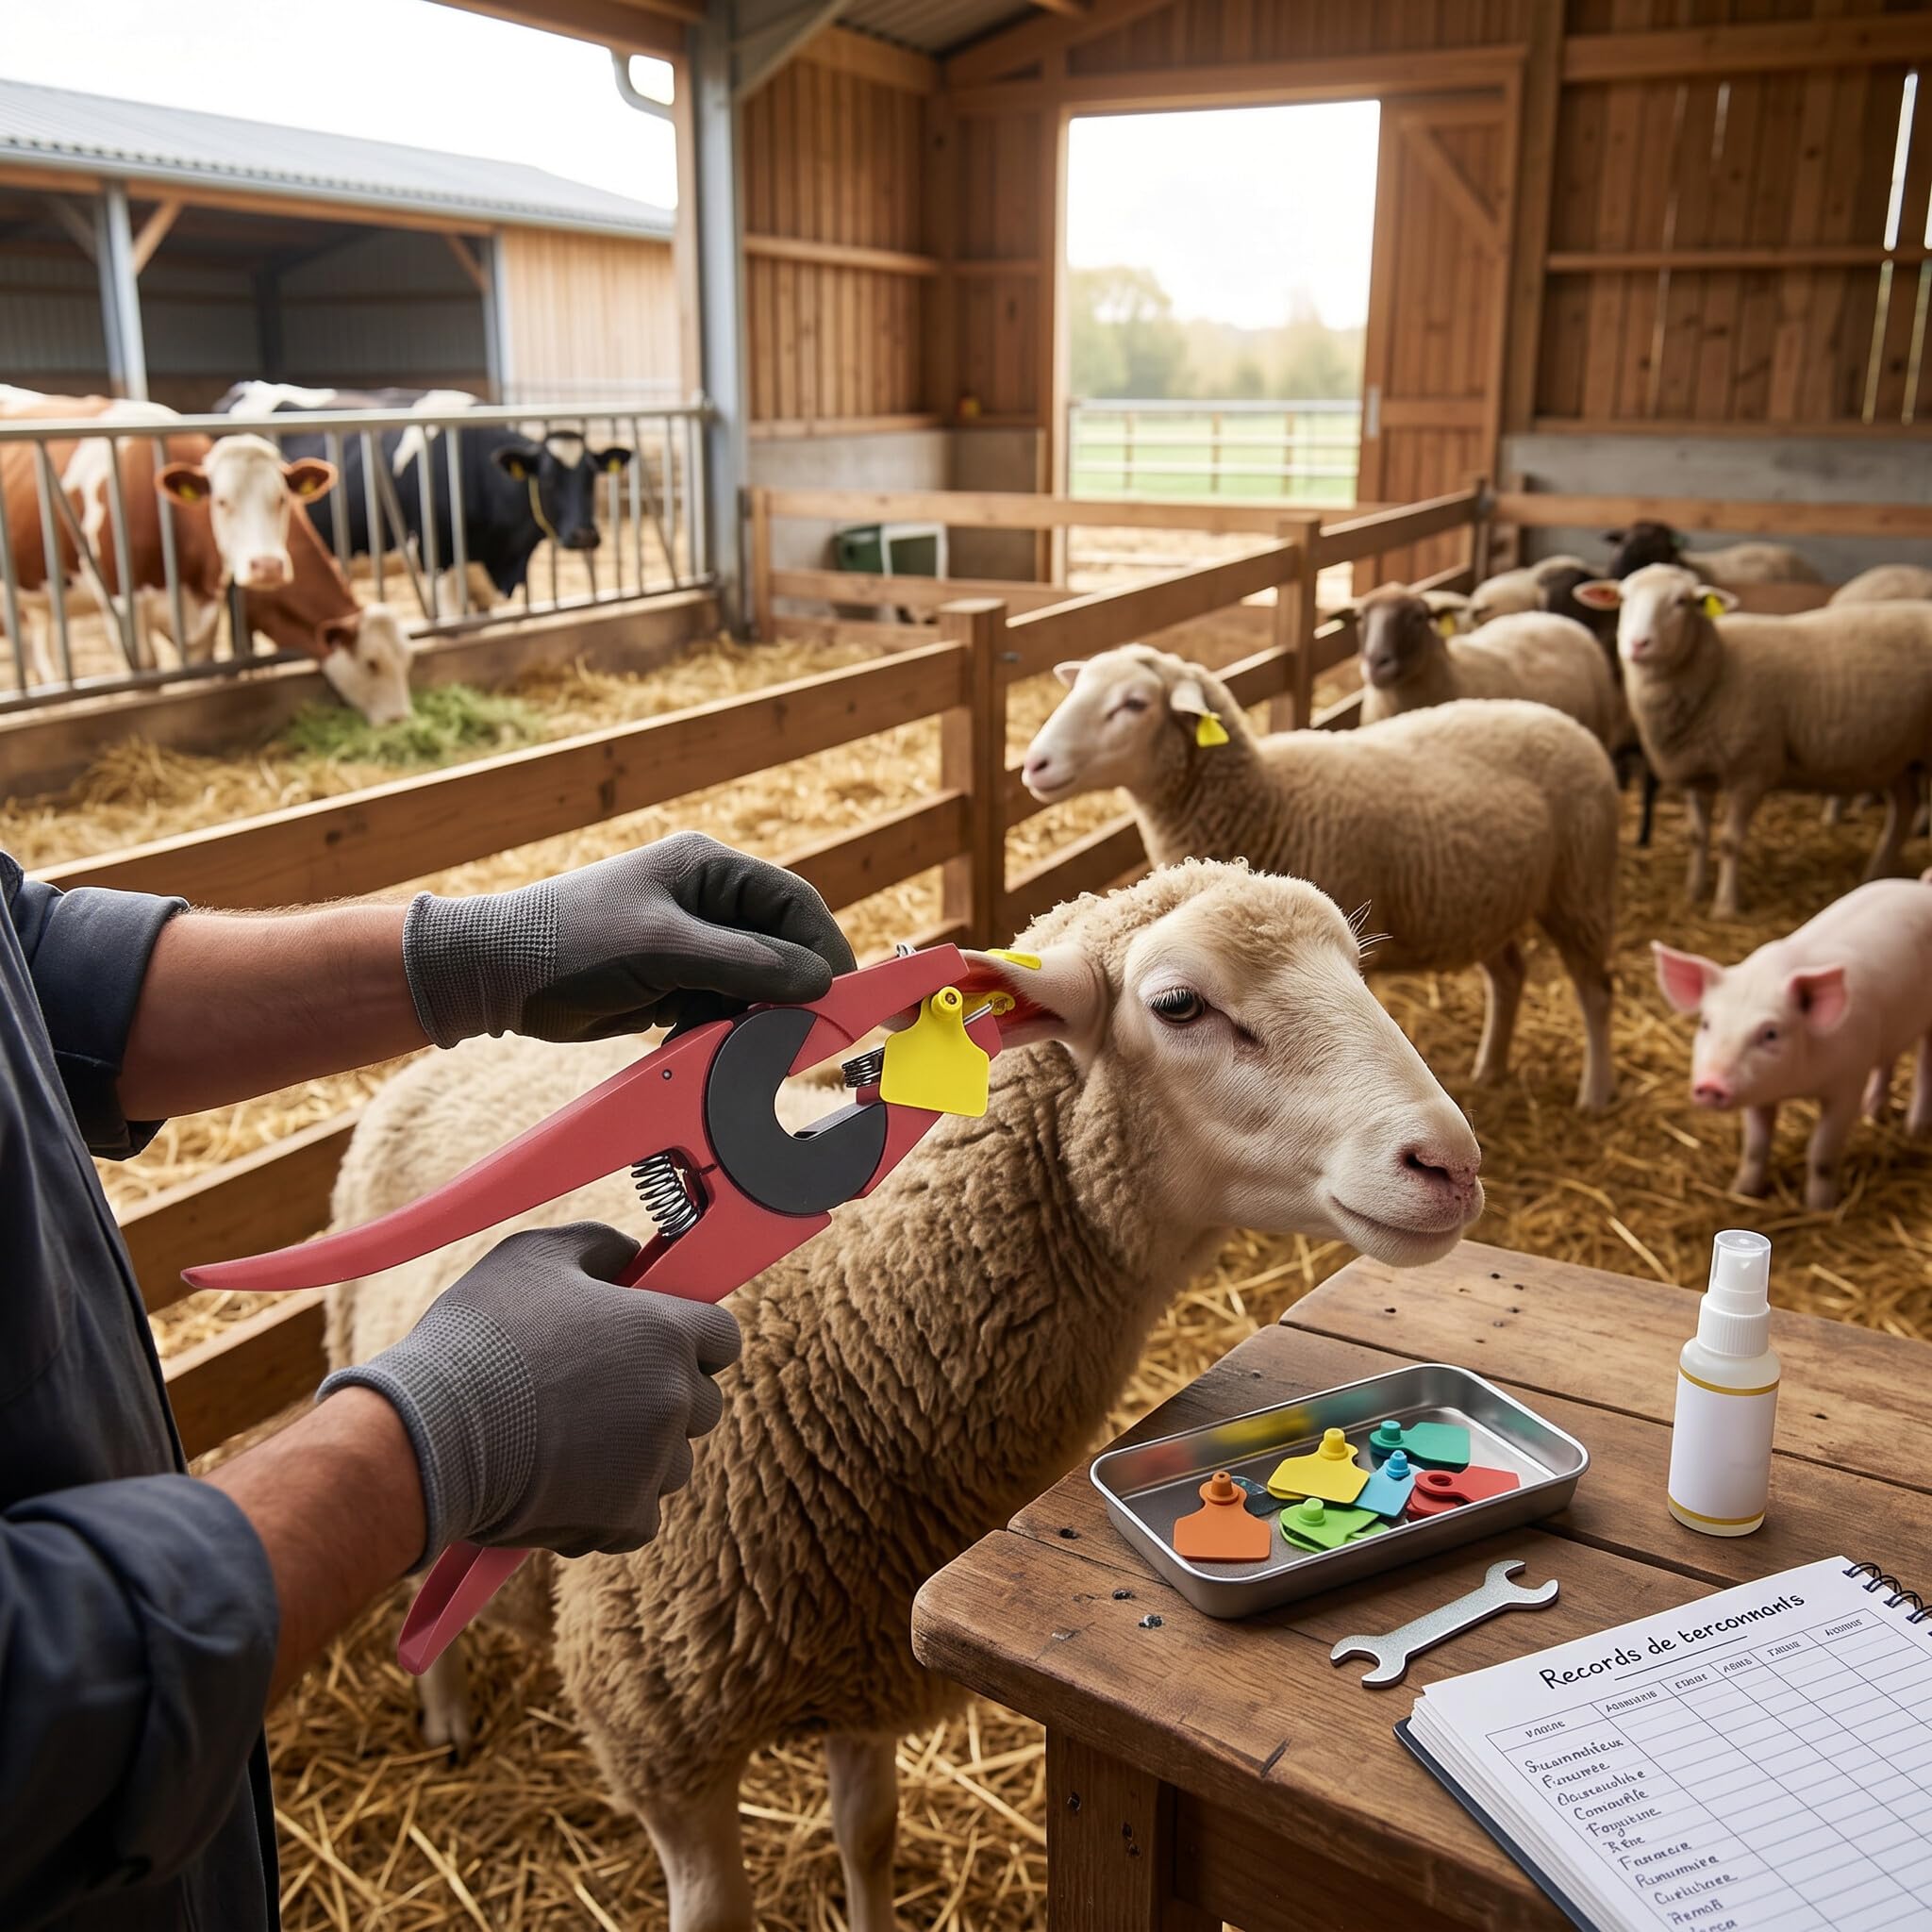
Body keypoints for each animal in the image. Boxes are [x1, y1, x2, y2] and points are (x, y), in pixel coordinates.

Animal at [328, 861, 1486, 1932]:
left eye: (1357, 966)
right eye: (1178, 1004)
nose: (1449, 1165)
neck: (847, 1343)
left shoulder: (871, 1667)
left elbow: (869, 1834)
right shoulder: (658, 1738)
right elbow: (715, 1910)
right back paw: (444, 1711)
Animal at [1022, 645, 1620, 1110]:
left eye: (1134, 704)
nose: (1034, 764)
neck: (1267, 802)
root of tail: (1565, 722)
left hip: (1580, 885)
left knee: (1596, 991)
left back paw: (1594, 1094)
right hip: (1488, 902)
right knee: (1511, 975)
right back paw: (1490, 1068)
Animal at [1573, 563, 1932, 917]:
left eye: (1681, 602)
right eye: (1623, 598)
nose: (1637, 644)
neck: (1719, 668)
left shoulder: (1751, 768)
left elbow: (1730, 841)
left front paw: (1725, 906)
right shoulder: (1698, 768)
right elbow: (1697, 835)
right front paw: (1694, 892)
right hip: (1898, 755)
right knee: (1904, 807)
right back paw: (1877, 872)